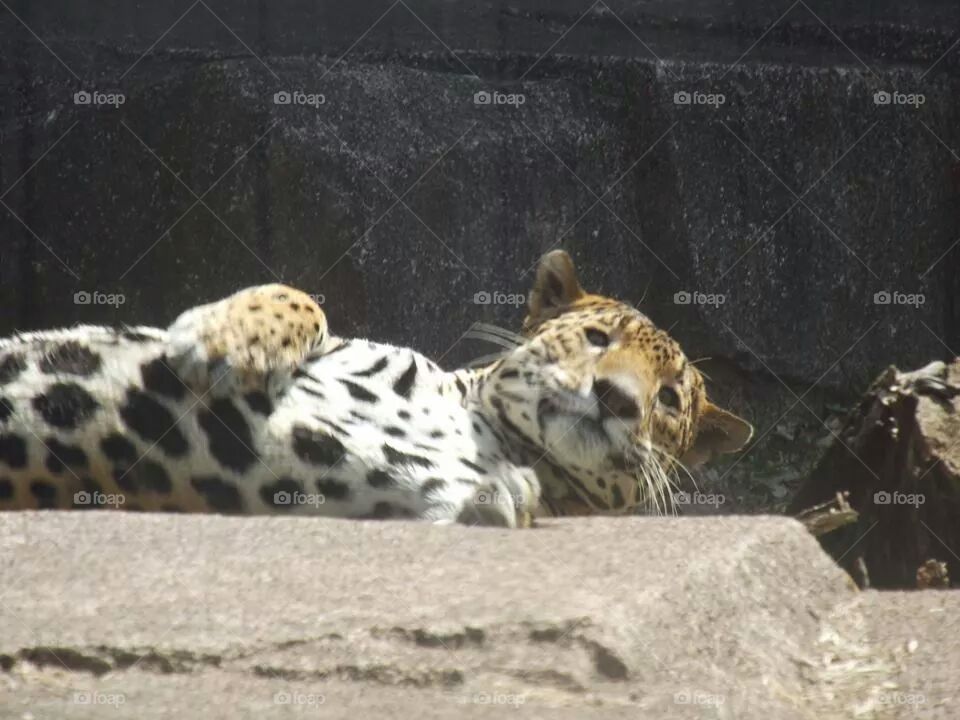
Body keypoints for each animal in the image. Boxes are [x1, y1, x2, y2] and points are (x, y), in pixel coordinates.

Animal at [0, 251, 752, 526]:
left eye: (669, 400)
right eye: (598, 338)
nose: (618, 398)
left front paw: (502, 493)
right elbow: (303, 298)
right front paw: (222, 338)